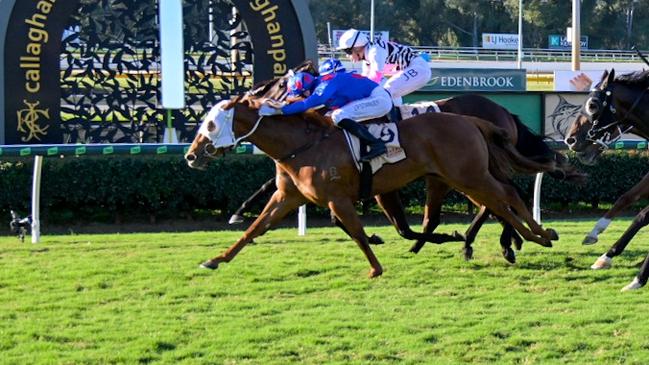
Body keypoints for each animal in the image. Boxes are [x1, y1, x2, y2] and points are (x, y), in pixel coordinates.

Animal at [186, 90, 556, 276]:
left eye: (211, 124)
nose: (191, 156)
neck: (304, 143)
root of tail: (473, 119)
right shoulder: (288, 196)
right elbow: (255, 229)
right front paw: (215, 259)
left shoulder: (339, 198)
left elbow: (359, 234)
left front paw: (376, 268)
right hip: (459, 176)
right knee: (497, 201)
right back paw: (518, 238)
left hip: (467, 174)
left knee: (504, 196)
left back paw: (535, 235)